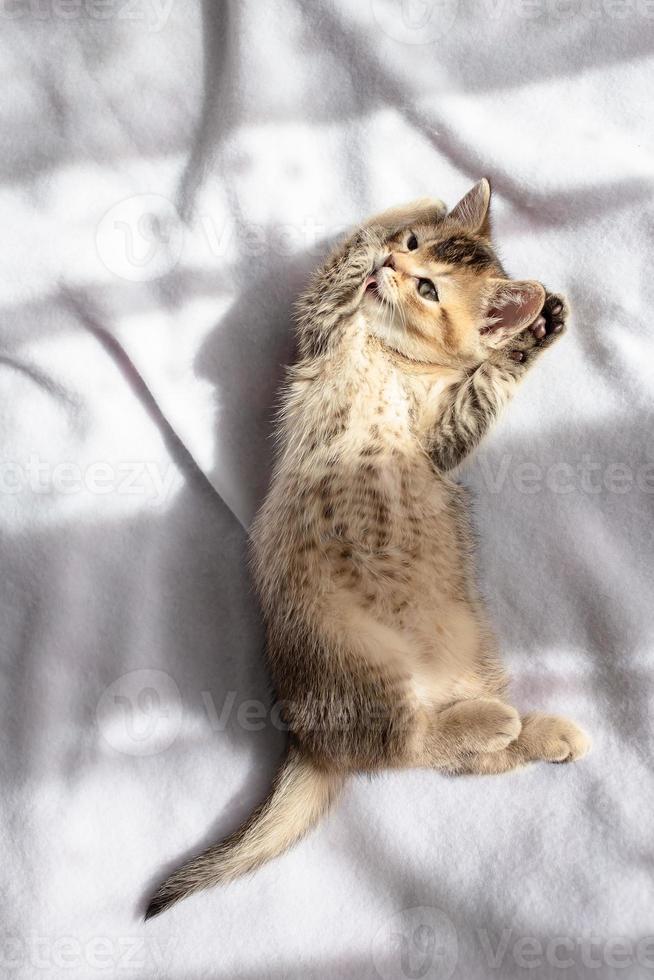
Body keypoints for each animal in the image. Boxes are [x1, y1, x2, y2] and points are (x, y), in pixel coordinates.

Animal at [146, 178, 592, 920]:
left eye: (430, 289)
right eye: (413, 251)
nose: (393, 264)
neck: (391, 354)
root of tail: (306, 736)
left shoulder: (441, 440)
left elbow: (484, 386)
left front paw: (533, 330)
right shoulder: (321, 329)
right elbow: (339, 267)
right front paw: (411, 212)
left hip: (441, 663)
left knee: (427, 754)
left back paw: (531, 731)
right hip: (357, 662)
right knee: (401, 749)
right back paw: (507, 724)